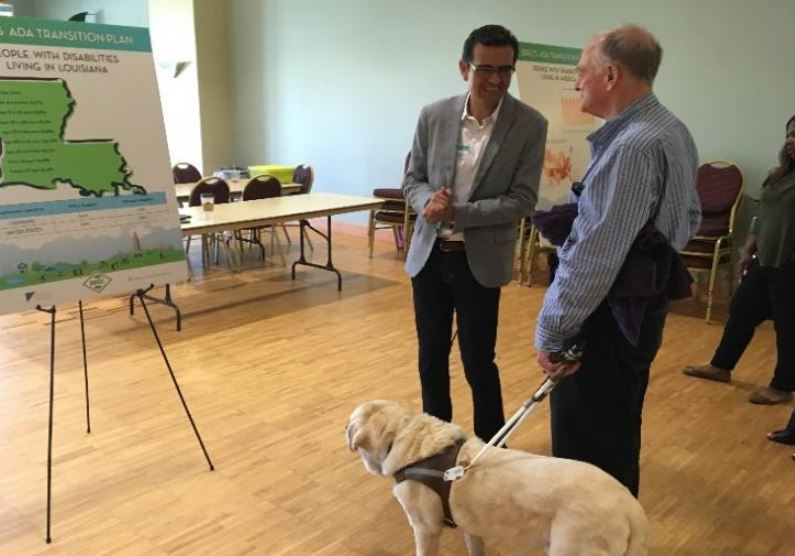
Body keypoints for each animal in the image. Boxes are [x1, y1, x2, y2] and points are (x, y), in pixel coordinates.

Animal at [346, 400, 648, 556]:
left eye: (349, 425)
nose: (342, 430)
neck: (406, 437)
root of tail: (630, 504)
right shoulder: (469, 525)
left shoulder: (425, 529)